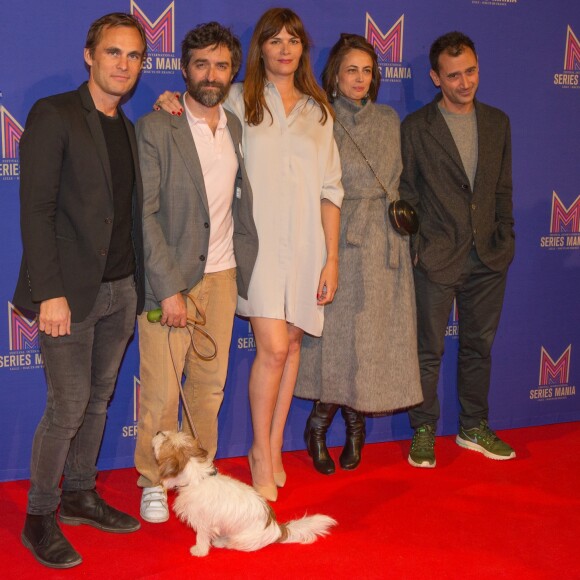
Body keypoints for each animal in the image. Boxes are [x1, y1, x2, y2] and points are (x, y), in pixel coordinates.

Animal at [152, 430, 338, 556]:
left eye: (165, 439)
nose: (158, 431)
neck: (197, 477)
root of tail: (277, 529)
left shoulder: (204, 522)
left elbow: (202, 536)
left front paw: (199, 550)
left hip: (241, 539)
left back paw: (222, 542)